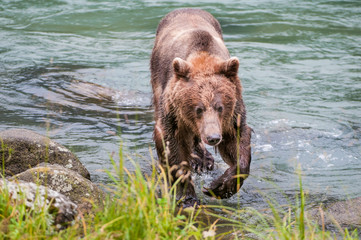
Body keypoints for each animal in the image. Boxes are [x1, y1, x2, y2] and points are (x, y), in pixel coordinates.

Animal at [149, 8, 250, 207]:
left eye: (220, 107)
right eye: (198, 108)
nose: (213, 138)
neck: (203, 58)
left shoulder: (232, 115)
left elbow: (238, 140)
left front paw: (220, 187)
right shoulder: (174, 113)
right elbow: (172, 145)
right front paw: (187, 197)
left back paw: (203, 160)